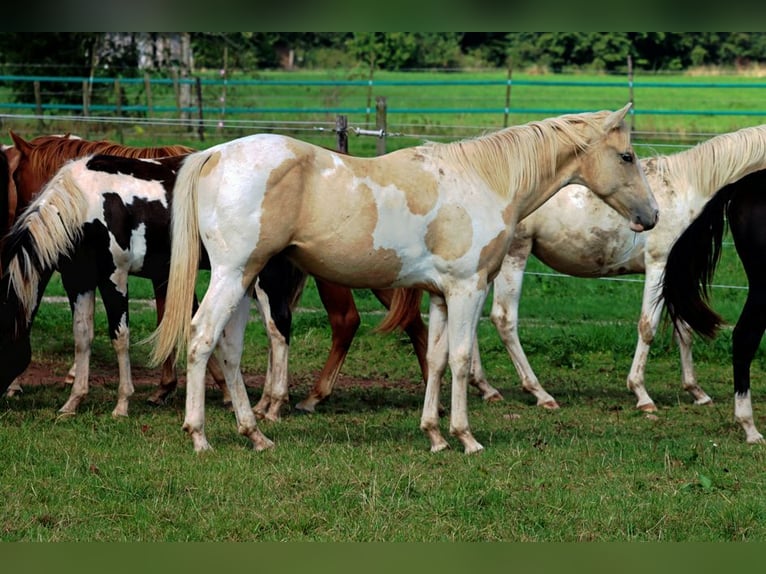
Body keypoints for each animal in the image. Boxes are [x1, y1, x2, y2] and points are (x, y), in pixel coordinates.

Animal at [152, 102, 660, 454]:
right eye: (627, 156)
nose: (652, 216)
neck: (484, 180)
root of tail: (214, 154)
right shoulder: (467, 288)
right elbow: (460, 359)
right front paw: (465, 437)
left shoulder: (439, 295)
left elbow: (434, 360)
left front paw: (434, 435)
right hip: (235, 274)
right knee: (201, 338)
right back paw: (200, 436)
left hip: (245, 280)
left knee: (229, 351)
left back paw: (254, 434)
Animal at [462, 124, 766, 414]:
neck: (687, 191)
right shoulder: (659, 267)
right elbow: (648, 326)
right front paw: (642, 394)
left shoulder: (672, 277)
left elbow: (684, 329)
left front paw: (697, 392)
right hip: (514, 257)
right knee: (503, 319)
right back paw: (540, 393)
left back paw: (486, 388)